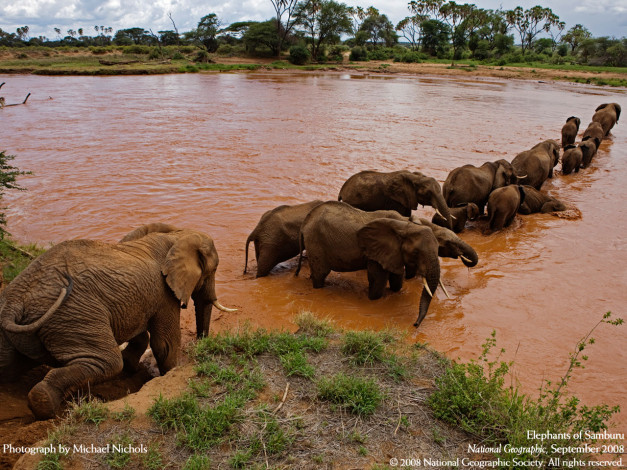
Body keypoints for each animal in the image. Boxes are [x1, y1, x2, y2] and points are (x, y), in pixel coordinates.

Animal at [0, 223, 236, 418]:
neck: (176, 235)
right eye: (212, 270)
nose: (202, 343)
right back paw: (45, 407)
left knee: (6, 365)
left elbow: (141, 334)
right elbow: (164, 344)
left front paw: (132, 368)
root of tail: (14, 301)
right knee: (108, 361)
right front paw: (168, 374)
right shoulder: (163, 292)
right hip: (73, 314)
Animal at [296, 201, 440, 326]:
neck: (406, 225)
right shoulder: (376, 253)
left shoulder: (393, 253)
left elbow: (396, 281)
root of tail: (305, 222)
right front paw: (374, 299)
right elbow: (378, 281)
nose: (415, 324)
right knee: (320, 274)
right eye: (416, 253)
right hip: (315, 242)